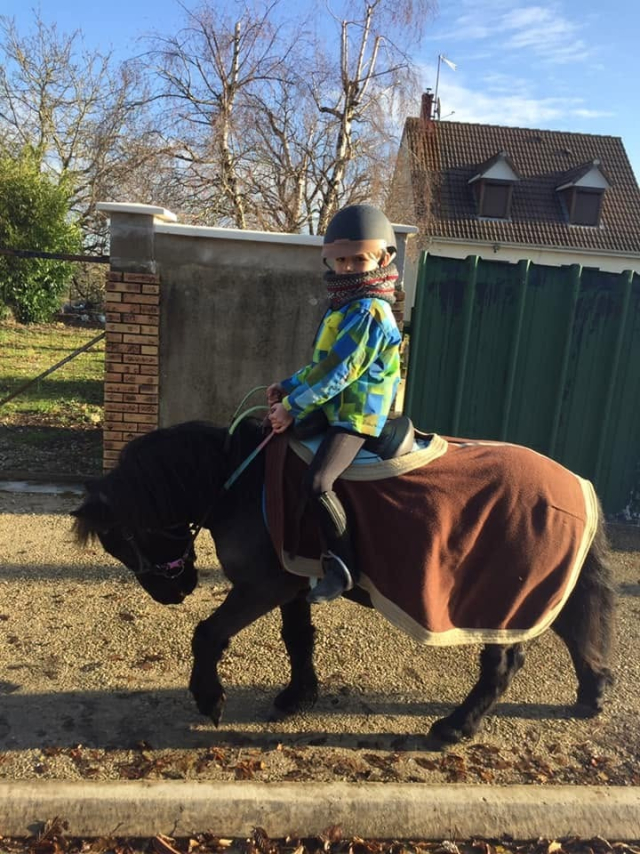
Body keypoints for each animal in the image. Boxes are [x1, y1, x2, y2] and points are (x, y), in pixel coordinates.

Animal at [71, 418, 616, 747]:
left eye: (123, 538)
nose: (172, 593)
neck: (238, 482)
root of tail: (576, 483)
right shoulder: (292, 582)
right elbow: (297, 638)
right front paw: (298, 697)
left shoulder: (261, 586)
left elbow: (207, 633)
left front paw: (209, 699)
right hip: (539, 588)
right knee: (577, 632)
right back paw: (592, 695)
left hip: (503, 598)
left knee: (504, 663)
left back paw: (455, 727)